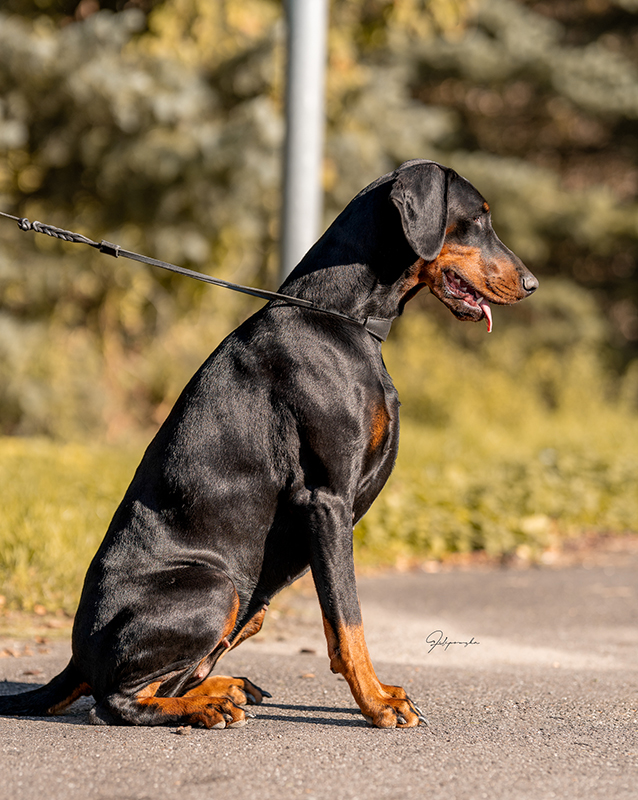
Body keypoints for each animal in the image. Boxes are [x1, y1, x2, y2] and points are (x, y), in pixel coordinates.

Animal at [0, 160, 537, 728]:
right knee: (114, 702)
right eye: (477, 218)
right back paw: (204, 707)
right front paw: (376, 701)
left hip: (251, 602)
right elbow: (348, 619)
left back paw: (221, 689)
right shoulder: (326, 499)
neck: (339, 316)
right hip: (218, 587)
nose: (532, 284)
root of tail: (77, 657)